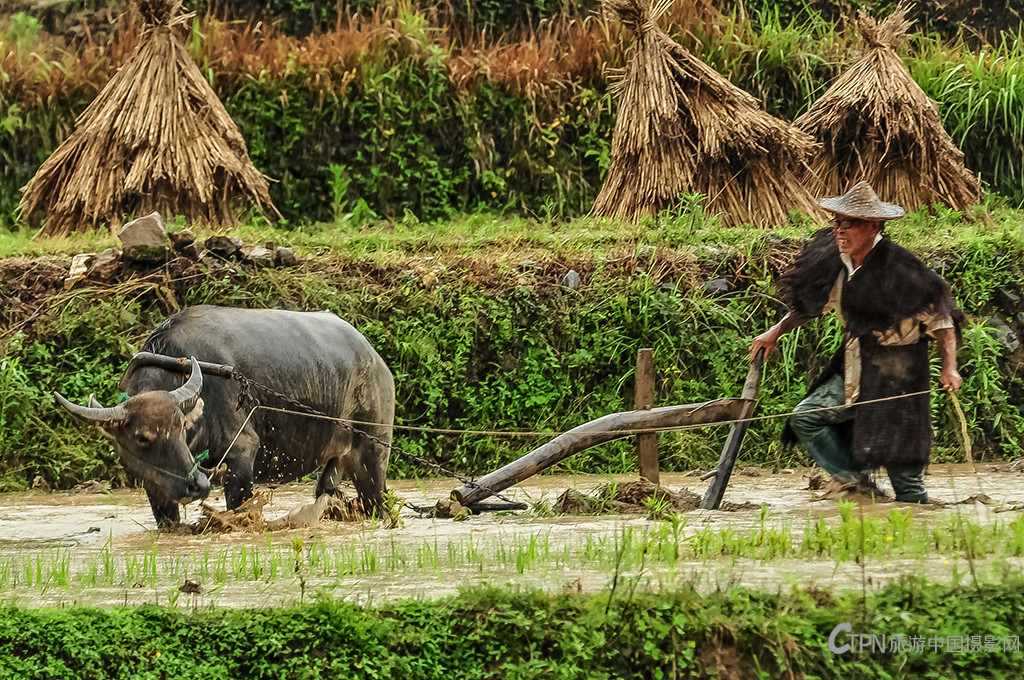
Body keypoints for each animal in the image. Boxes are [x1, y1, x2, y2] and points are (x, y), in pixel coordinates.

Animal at [51, 307, 397, 524]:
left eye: (181, 428)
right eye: (141, 437)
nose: (197, 486)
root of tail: (375, 360)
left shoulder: (241, 456)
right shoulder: (157, 488)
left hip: (373, 452)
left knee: (377, 500)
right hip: (335, 461)